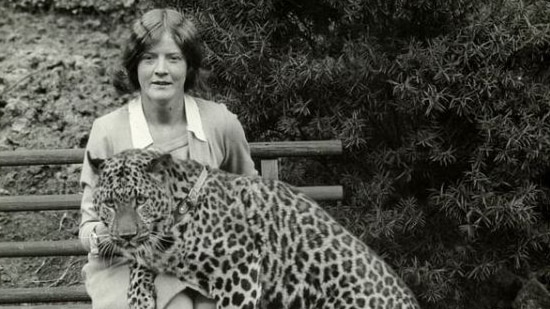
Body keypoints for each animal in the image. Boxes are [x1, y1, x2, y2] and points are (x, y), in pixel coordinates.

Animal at [88, 148, 420, 306]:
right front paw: (139, 297)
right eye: (109, 203)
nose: (125, 235)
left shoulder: (239, 273)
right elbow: (138, 262)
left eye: (140, 200)